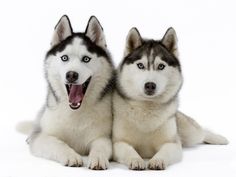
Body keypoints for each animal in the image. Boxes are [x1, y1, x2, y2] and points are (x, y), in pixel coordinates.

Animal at [25, 15, 114, 170]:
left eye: (86, 59)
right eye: (64, 58)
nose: (71, 75)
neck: (75, 112)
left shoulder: (103, 137)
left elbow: (100, 146)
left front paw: (97, 158)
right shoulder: (43, 137)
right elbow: (57, 143)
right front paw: (70, 155)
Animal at [113, 27, 229, 170]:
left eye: (161, 66)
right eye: (140, 65)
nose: (150, 85)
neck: (147, 108)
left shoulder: (172, 143)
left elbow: (165, 151)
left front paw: (158, 160)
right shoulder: (118, 142)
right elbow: (128, 150)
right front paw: (136, 159)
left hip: (188, 132)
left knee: (201, 132)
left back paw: (219, 138)